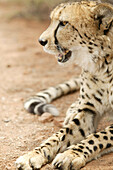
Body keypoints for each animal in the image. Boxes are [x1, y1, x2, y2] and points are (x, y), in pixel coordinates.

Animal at [15, 0, 113, 169]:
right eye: (52, 20)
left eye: (64, 23)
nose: (41, 41)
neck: (101, 63)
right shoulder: (89, 110)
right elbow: (60, 135)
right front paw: (33, 154)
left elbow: (97, 137)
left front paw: (71, 154)